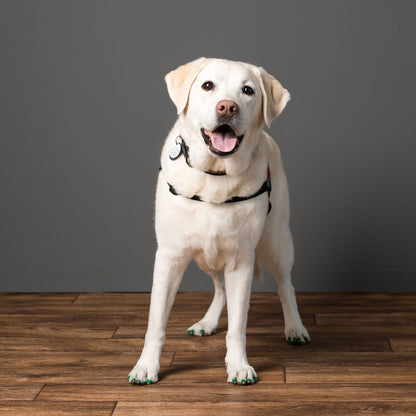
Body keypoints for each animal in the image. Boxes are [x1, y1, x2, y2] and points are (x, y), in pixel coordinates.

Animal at [128, 57, 310, 386]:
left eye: (248, 91)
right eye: (207, 85)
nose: (227, 107)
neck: (214, 175)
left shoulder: (241, 262)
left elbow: (238, 326)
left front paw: (238, 365)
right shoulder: (170, 258)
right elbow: (156, 322)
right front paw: (146, 366)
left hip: (275, 242)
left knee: (285, 285)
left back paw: (295, 328)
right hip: (206, 256)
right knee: (220, 288)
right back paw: (208, 321)